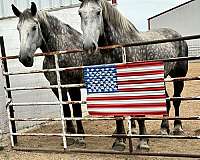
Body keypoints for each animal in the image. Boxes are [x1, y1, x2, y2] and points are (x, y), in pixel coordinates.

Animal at [11, 1, 104, 147]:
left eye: (34, 27)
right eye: (18, 28)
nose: (25, 58)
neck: (59, 50)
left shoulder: (73, 85)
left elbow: (76, 109)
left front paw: (81, 137)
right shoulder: (56, 85)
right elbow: (65, 109)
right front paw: (70, 135)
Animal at [79, 0, 188, 151]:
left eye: (98, 12)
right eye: (80, 13)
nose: (89, 46)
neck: (121, 47)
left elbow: (139, 113)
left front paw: (143, 142)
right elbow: (118, 114)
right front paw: (119, 142)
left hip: (179, 76)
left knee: (177, 100)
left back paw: (178, 128)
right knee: (166, 101)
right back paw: (164, 129)